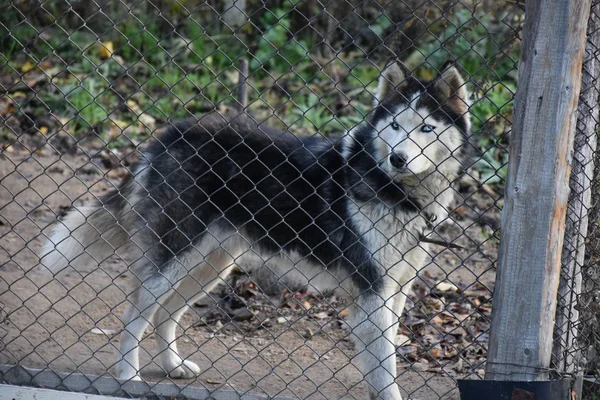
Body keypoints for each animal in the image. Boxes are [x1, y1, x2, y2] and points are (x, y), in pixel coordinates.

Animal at [43, 60, 474, 400]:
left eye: (426, 128)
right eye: (396, 125)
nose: (398, 159)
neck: (396, 191)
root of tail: (169, 134)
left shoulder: (392, 291)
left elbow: (378, 365)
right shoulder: (372, 292)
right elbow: (385, 369)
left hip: (211, 267)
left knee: (166, 314)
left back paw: (172, 366)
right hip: (174, 260)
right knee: (136, 313)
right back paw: (127, 375)